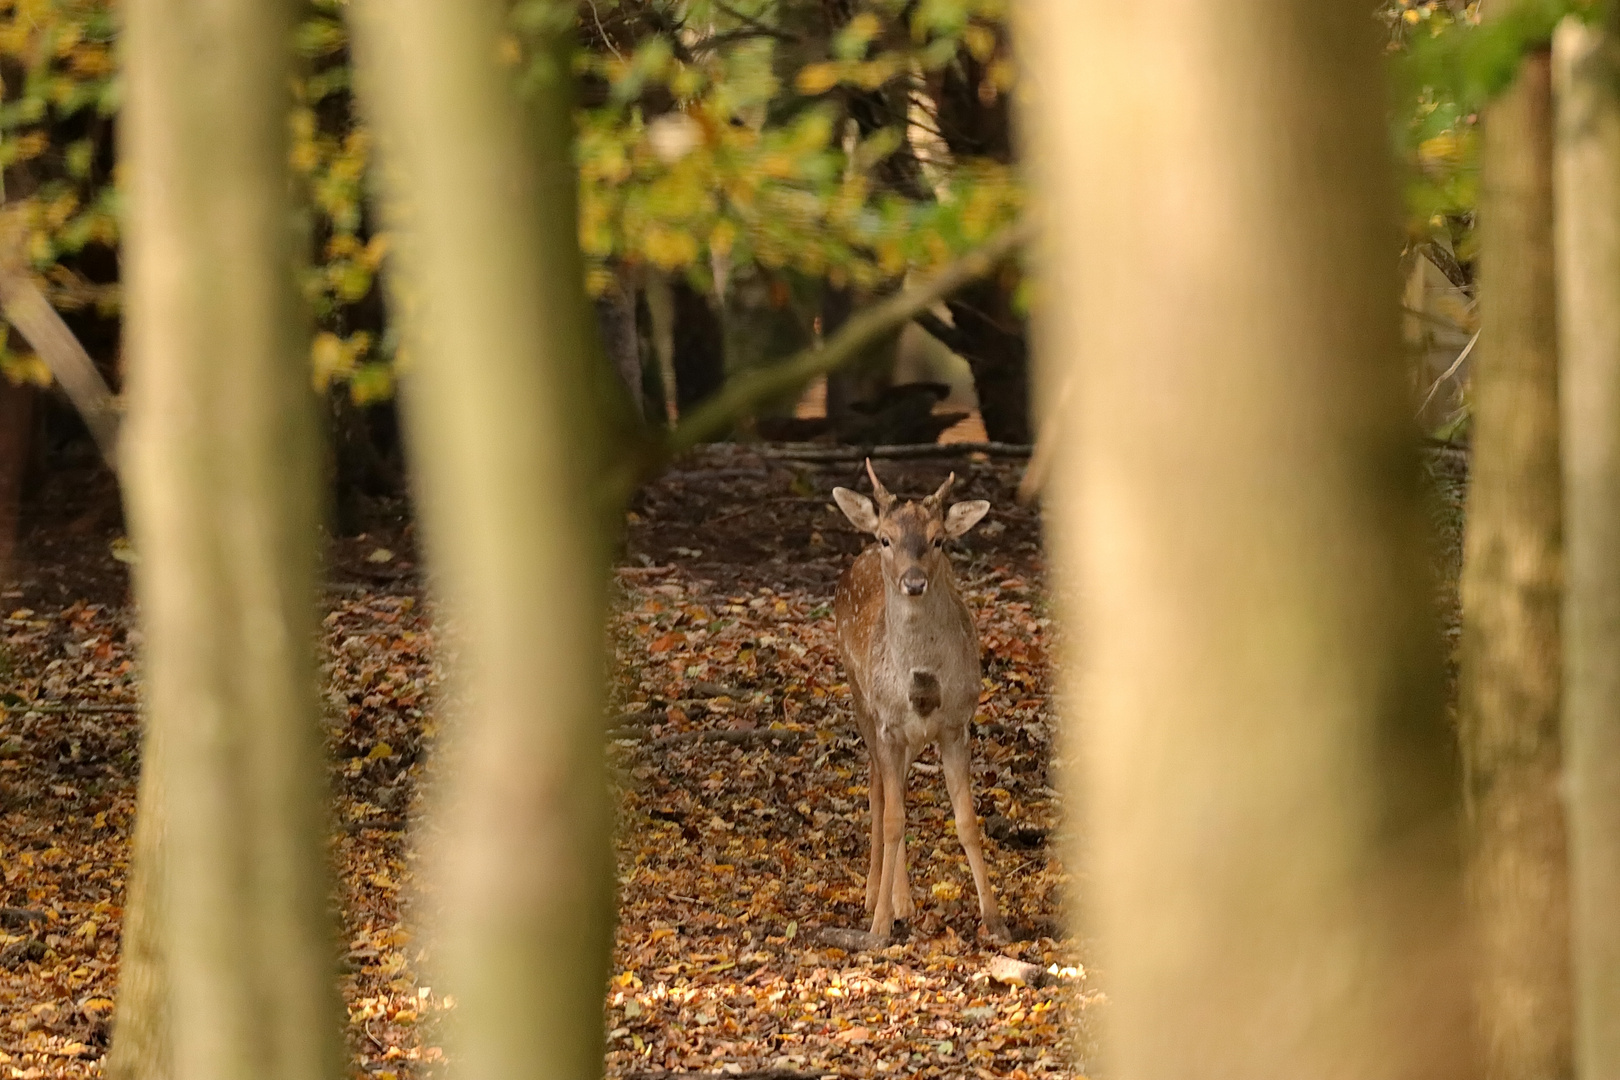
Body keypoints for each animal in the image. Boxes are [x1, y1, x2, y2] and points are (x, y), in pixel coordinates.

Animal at [829, 459, 1004, 939]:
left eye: (938, 539)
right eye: (886, 538)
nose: (913, 581)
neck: (924, 683)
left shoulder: (957, 724)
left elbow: (967, 821)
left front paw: (995, 920)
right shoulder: (888, 724)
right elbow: (892, 818)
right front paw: (879, 925)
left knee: (895, 792)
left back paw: (902, 901)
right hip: (860, 697)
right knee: (878, 791)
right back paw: (878, 896)